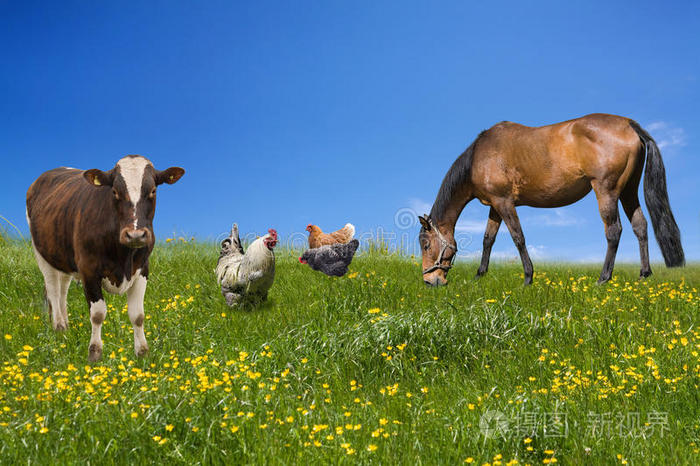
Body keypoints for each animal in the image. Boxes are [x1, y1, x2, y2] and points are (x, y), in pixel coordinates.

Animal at [26, 155, 185, 362]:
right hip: (41, 254)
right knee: (53, 290)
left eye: (153, 190)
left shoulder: (143, 269)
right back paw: (59, 328)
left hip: (63, 257)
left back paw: (66, 328)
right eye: (115, 191)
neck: (124, 257)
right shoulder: (88, 270)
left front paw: (142, 352)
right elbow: (97, 314)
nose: (135, 235)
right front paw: (94, 353)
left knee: (62, 290)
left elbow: (138, 315)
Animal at [422, 114, 684, 288]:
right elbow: (488, 240)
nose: (430, 280)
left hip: (607, 190)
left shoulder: (505, 203)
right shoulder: (495, 206)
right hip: (628, 191)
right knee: (640, 225)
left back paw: (603, 278)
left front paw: (528, 278)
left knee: (614, 231)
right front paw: (479, 275)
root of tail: (629, 124)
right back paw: (644, 274)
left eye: (425, 245)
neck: (480, 155)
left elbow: (518, 238)